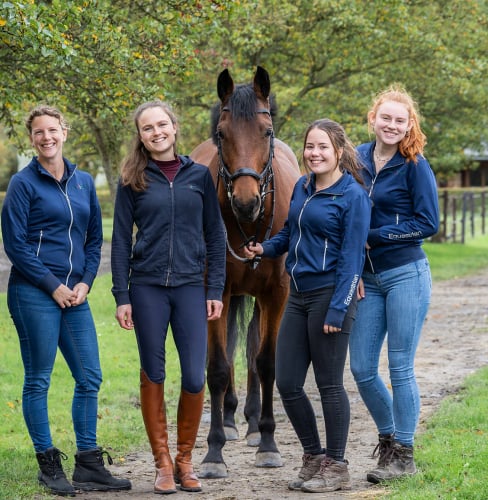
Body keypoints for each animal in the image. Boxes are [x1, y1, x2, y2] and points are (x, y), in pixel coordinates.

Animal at [192, 65, 302, 476]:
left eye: (266, 131)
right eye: (222, 134)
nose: (245, 202)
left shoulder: (276, 294)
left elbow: (266, 363)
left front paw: (268, 444)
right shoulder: (216, 293)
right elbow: (218, 367)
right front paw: (214, 451)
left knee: (254, 348)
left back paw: (254, 424)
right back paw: (230, 419)